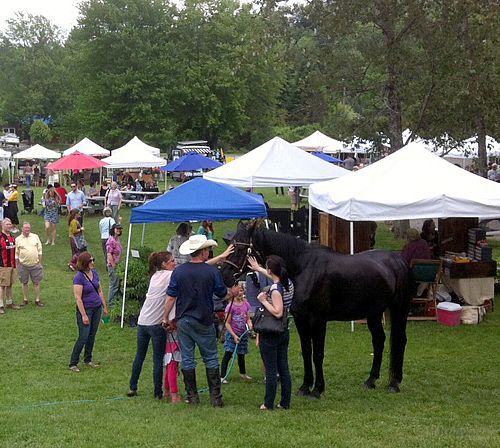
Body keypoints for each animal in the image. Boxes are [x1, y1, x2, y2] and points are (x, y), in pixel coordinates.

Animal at [221, 222, 416, 398]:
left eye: (240, 248)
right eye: (230, 245)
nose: (225, 275)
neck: (303, 268)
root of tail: (398, 260)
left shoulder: (318, 320)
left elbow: (318, 354)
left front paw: (317, 389)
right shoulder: (301, 319)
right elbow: (307, 351)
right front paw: (305, 387)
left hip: (399, 309)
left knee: (400, 340)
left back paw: (394, 383)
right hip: (373, 312)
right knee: (379, 340)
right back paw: (371, 380)